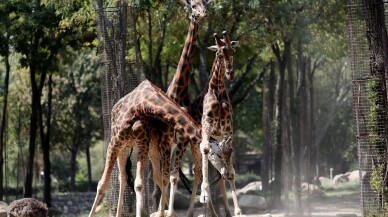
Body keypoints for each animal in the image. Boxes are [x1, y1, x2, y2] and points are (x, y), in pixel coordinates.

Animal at [88, 80, 229, 217]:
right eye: (218, 154)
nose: (226, 173)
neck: (143, 104)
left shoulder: (144, 142)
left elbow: (140, 184)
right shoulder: (115, 141)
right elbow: (102, 184)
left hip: (146, 147)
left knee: (147, 176)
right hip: (124, 146)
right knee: (123, 177)